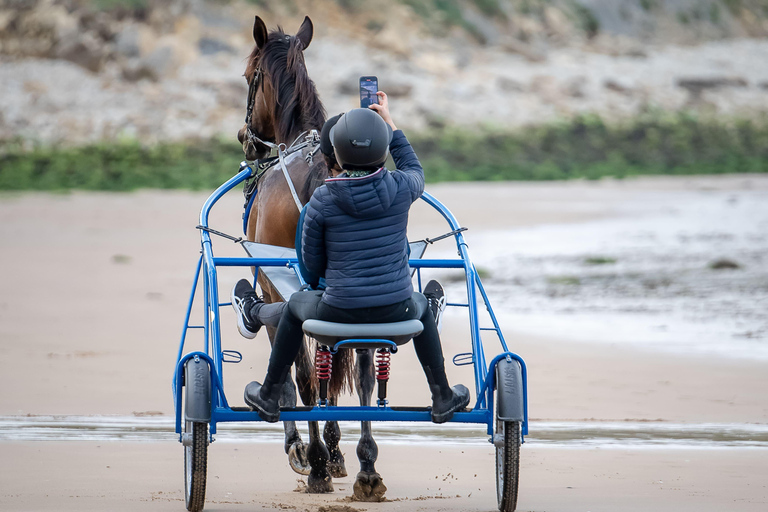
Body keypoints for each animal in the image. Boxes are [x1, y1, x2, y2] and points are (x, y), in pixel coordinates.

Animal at [237, 15, 388, 500]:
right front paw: (340, 452)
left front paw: (308, 451)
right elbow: (330, 372)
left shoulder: (274, 292)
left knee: (303, 376)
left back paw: (318, 463)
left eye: (248, 76)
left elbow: (291, 375)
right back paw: (366, 465)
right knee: (364, 371)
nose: (246, 140)